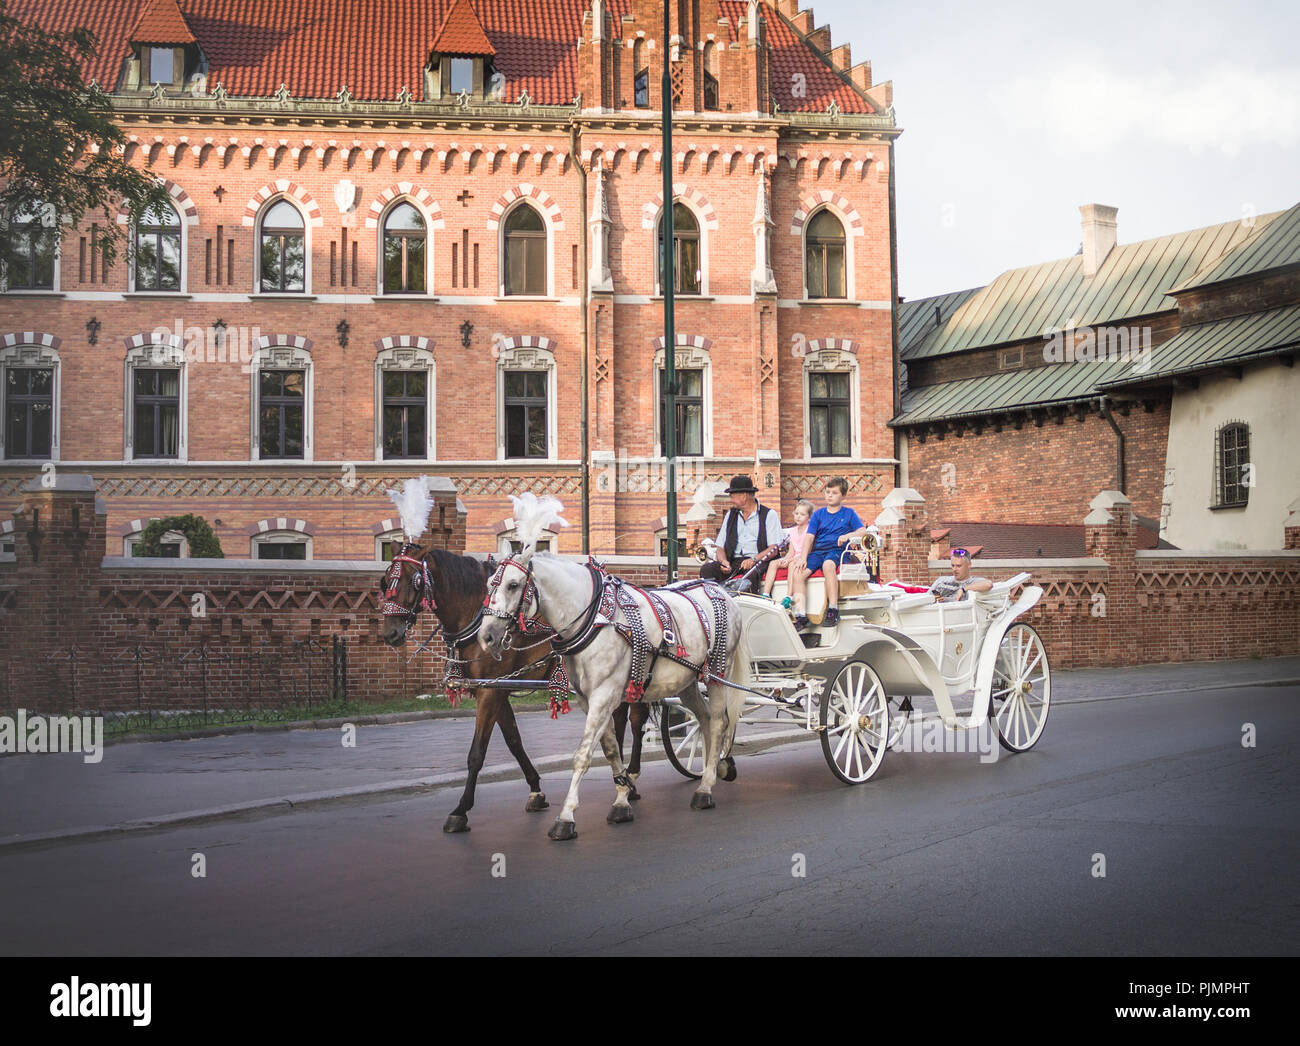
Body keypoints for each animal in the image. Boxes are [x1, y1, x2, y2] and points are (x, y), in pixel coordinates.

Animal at [379, 545, 647, 831]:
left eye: (414, 581)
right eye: (385, 582)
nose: (390, 633)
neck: (476, 616)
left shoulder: (490, 692)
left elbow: (477, 752)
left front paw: (461, 809)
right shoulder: (496, 688)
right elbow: (514, 741)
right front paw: (536, 790)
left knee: (636, 723)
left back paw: (631, 778)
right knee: (619, 724)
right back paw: (624, 780)